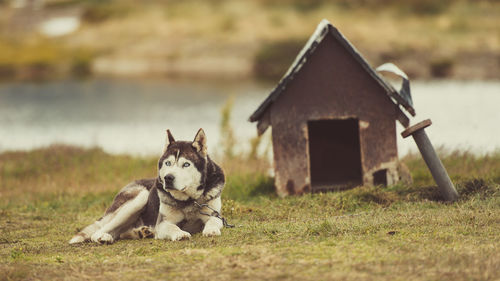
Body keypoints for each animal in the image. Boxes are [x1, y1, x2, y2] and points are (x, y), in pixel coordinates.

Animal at [69, 129, 226, 243]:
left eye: (186, 164)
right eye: (168, 163)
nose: (168, 178)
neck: (189, 200)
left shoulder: (214, 214)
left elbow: (214, 221)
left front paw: (211, 230)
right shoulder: (162, 223)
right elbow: (172, 227)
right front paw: (180, 234)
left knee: (120, 232)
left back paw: (141, 232)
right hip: (140, 197)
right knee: (100, 231)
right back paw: (104, 237)